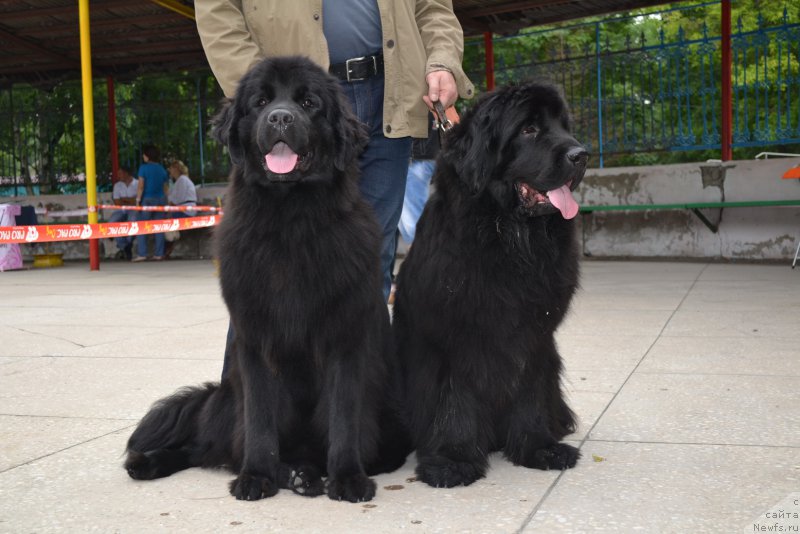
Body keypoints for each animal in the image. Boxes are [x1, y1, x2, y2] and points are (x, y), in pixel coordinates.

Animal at [126, 56, 412, 504]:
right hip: (229, 400)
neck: (289, 219)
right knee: (207, 447)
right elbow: (260, 419)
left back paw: (306, 475)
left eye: (309, 103)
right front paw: (256, 475)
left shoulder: (344, 340)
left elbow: (343, 414)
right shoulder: (256, 341)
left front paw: (348, 477)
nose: (279, 117)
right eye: (260, 102)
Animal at [394, 80, 588, 490]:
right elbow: (453, 400)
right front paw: (452, 460)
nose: (581, 155)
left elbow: (530, 391)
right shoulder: (451, 340)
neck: (508, 236)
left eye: (563, 126)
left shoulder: (534, 337)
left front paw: (538, 447)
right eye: (529, 129)